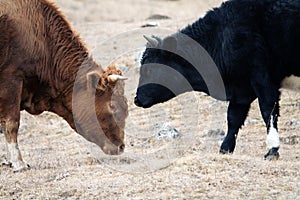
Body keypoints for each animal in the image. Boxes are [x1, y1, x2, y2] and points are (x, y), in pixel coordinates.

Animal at [135, 0, 300, 159]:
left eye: (149, 69)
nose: (137, 99)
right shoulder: (242, 89)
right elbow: (233, 117)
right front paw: (225, 148)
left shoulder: (262, 78)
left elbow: (268, 110)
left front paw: (272, 149)